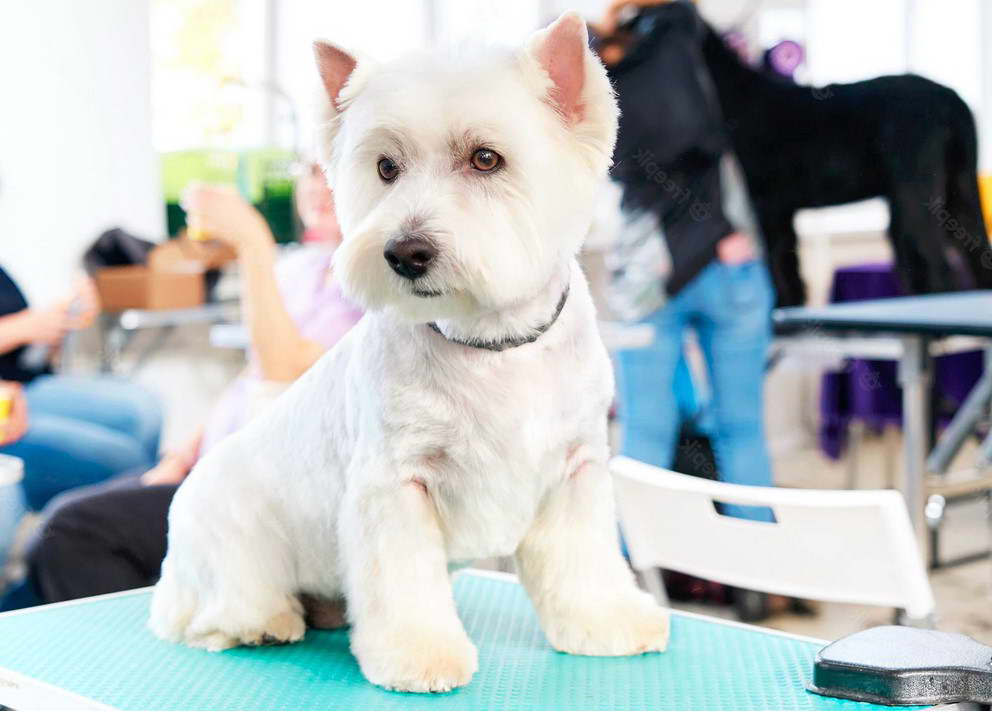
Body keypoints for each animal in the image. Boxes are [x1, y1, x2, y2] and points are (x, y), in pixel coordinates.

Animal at [151, 9, 672, 688]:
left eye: (486, 158)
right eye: (386, 168)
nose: (405, 252)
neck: (492, 345)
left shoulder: (576, 469)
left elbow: (585, 562)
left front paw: (610, 622)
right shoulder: (395, 485)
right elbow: (402, 584)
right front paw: (419, 655)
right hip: (228, 546)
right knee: (214, 609)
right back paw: (264, 622)